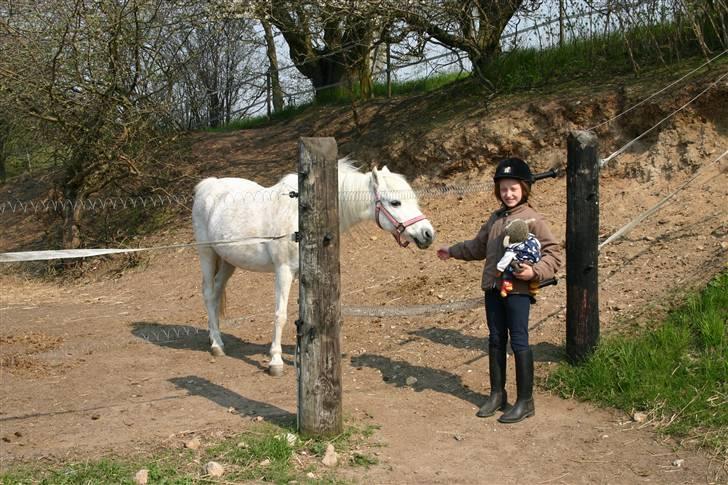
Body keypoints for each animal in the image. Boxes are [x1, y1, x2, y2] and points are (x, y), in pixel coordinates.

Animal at [191, 159, 436, 374]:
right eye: (395, 202)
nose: (428, 234)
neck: (302, 220)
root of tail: (207, 186)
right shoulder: (283, 271)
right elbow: (280, 315)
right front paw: (275, 361)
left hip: (227, 261)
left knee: (216, 292)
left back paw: (216, 336)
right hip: (207, 254)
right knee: (209, 294)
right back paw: (216, 345)